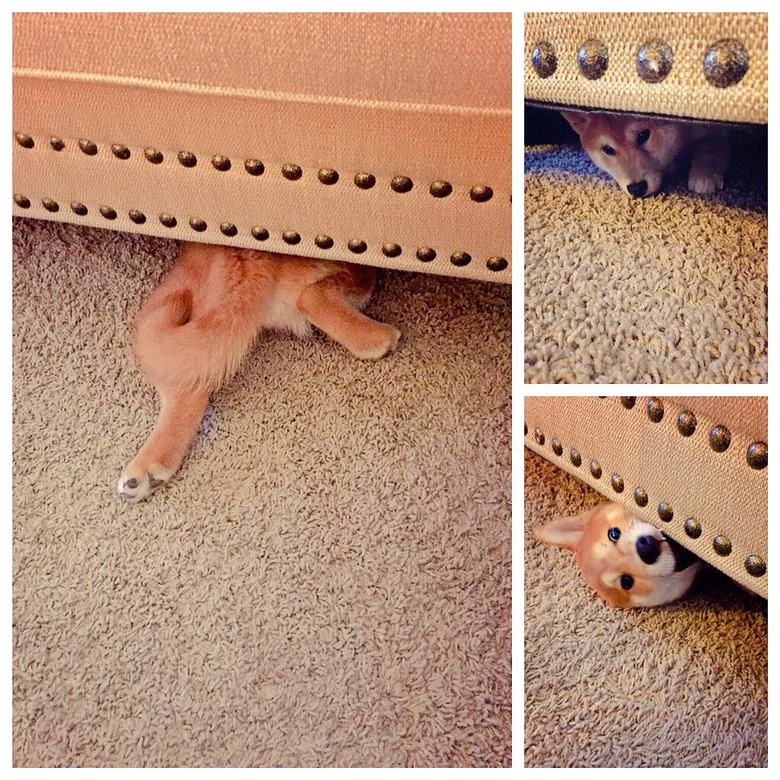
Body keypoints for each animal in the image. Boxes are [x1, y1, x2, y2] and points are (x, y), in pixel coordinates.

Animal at [120, 241, 402, 502]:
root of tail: (246, 256)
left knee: (184, 383)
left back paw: (147, 470)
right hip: (357, 272)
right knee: (311, 296)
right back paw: (377, 338)